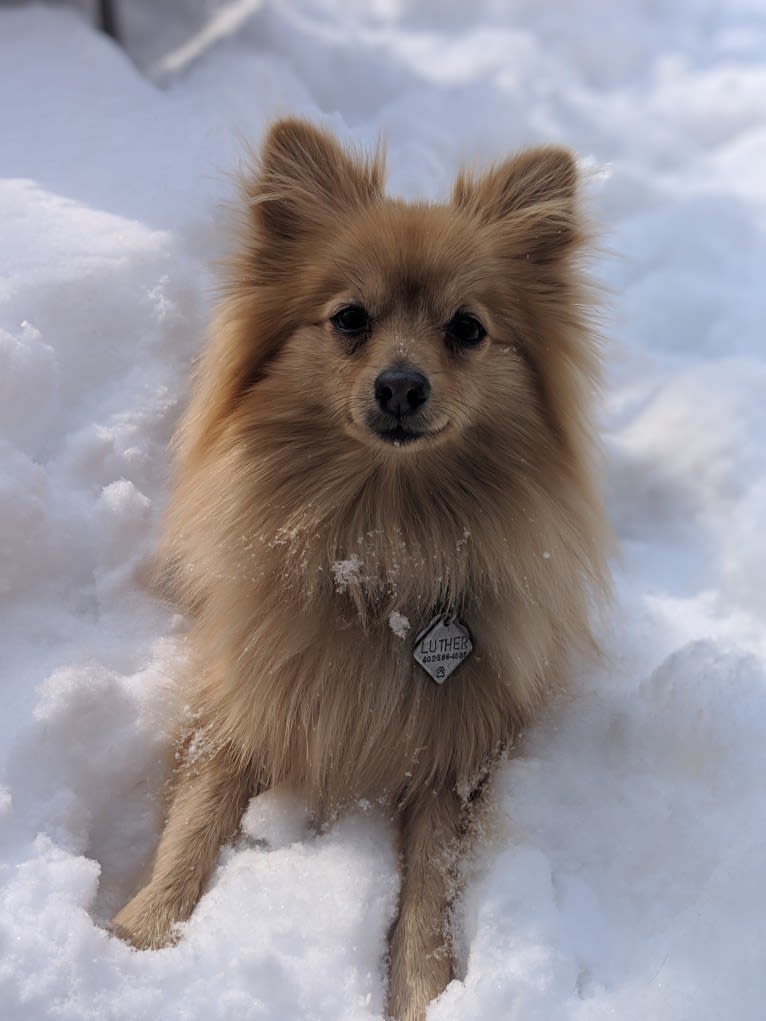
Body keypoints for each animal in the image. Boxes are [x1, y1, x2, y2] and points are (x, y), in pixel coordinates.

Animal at [112, 117, 612, 1021]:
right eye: (349, 318)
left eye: (467, 328)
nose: (401, 384)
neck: (380, 540)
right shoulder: (237, 695)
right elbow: (195, 819)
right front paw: (141, 932)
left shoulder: (456, 752)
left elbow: (429, 894)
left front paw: (424, 993)